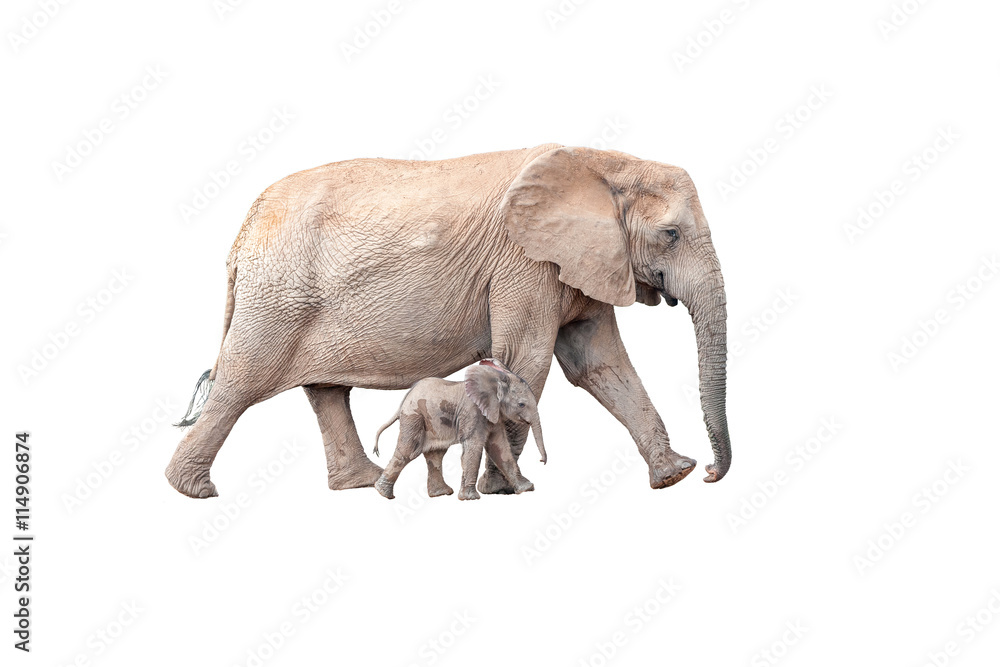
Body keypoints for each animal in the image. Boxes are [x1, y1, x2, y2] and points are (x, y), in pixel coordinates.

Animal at [372, 360, 547, 501]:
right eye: (521, 405)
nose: (541, 461)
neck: (494, 380)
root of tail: (405, 398)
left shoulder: (493, 415)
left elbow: (499, 448)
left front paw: (527, 488)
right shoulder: (472, 413)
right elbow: (474, 447)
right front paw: (470, 499)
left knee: (436, 454)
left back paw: (441, 494)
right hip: (414, 416)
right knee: (408, 451)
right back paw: (383, 493)